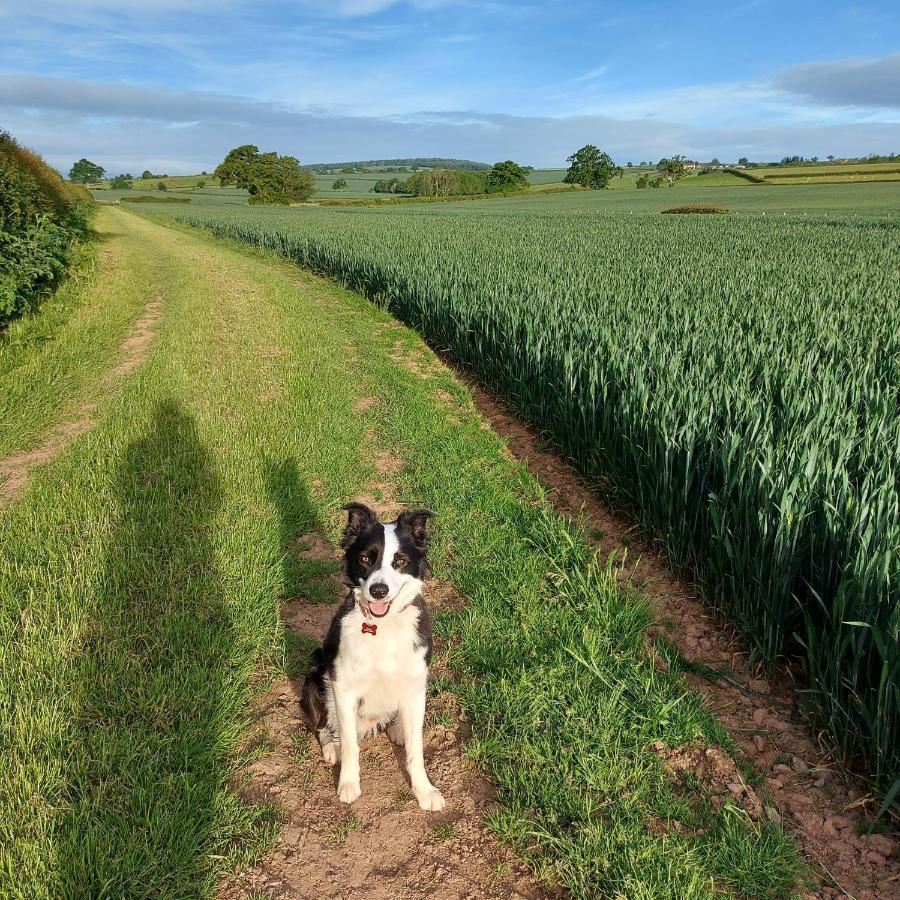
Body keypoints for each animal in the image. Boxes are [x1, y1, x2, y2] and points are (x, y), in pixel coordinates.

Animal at [300, 502, 444, 812]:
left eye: (399, 560)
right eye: (365, 558)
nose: (379, 591)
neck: (383, 627)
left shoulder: (416, 686)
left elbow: (416, 749)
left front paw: (424, 791)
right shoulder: (343, 688)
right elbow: (350, 745)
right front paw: (348, 784)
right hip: (315, 671)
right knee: (323, 725)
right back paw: (332, 747)